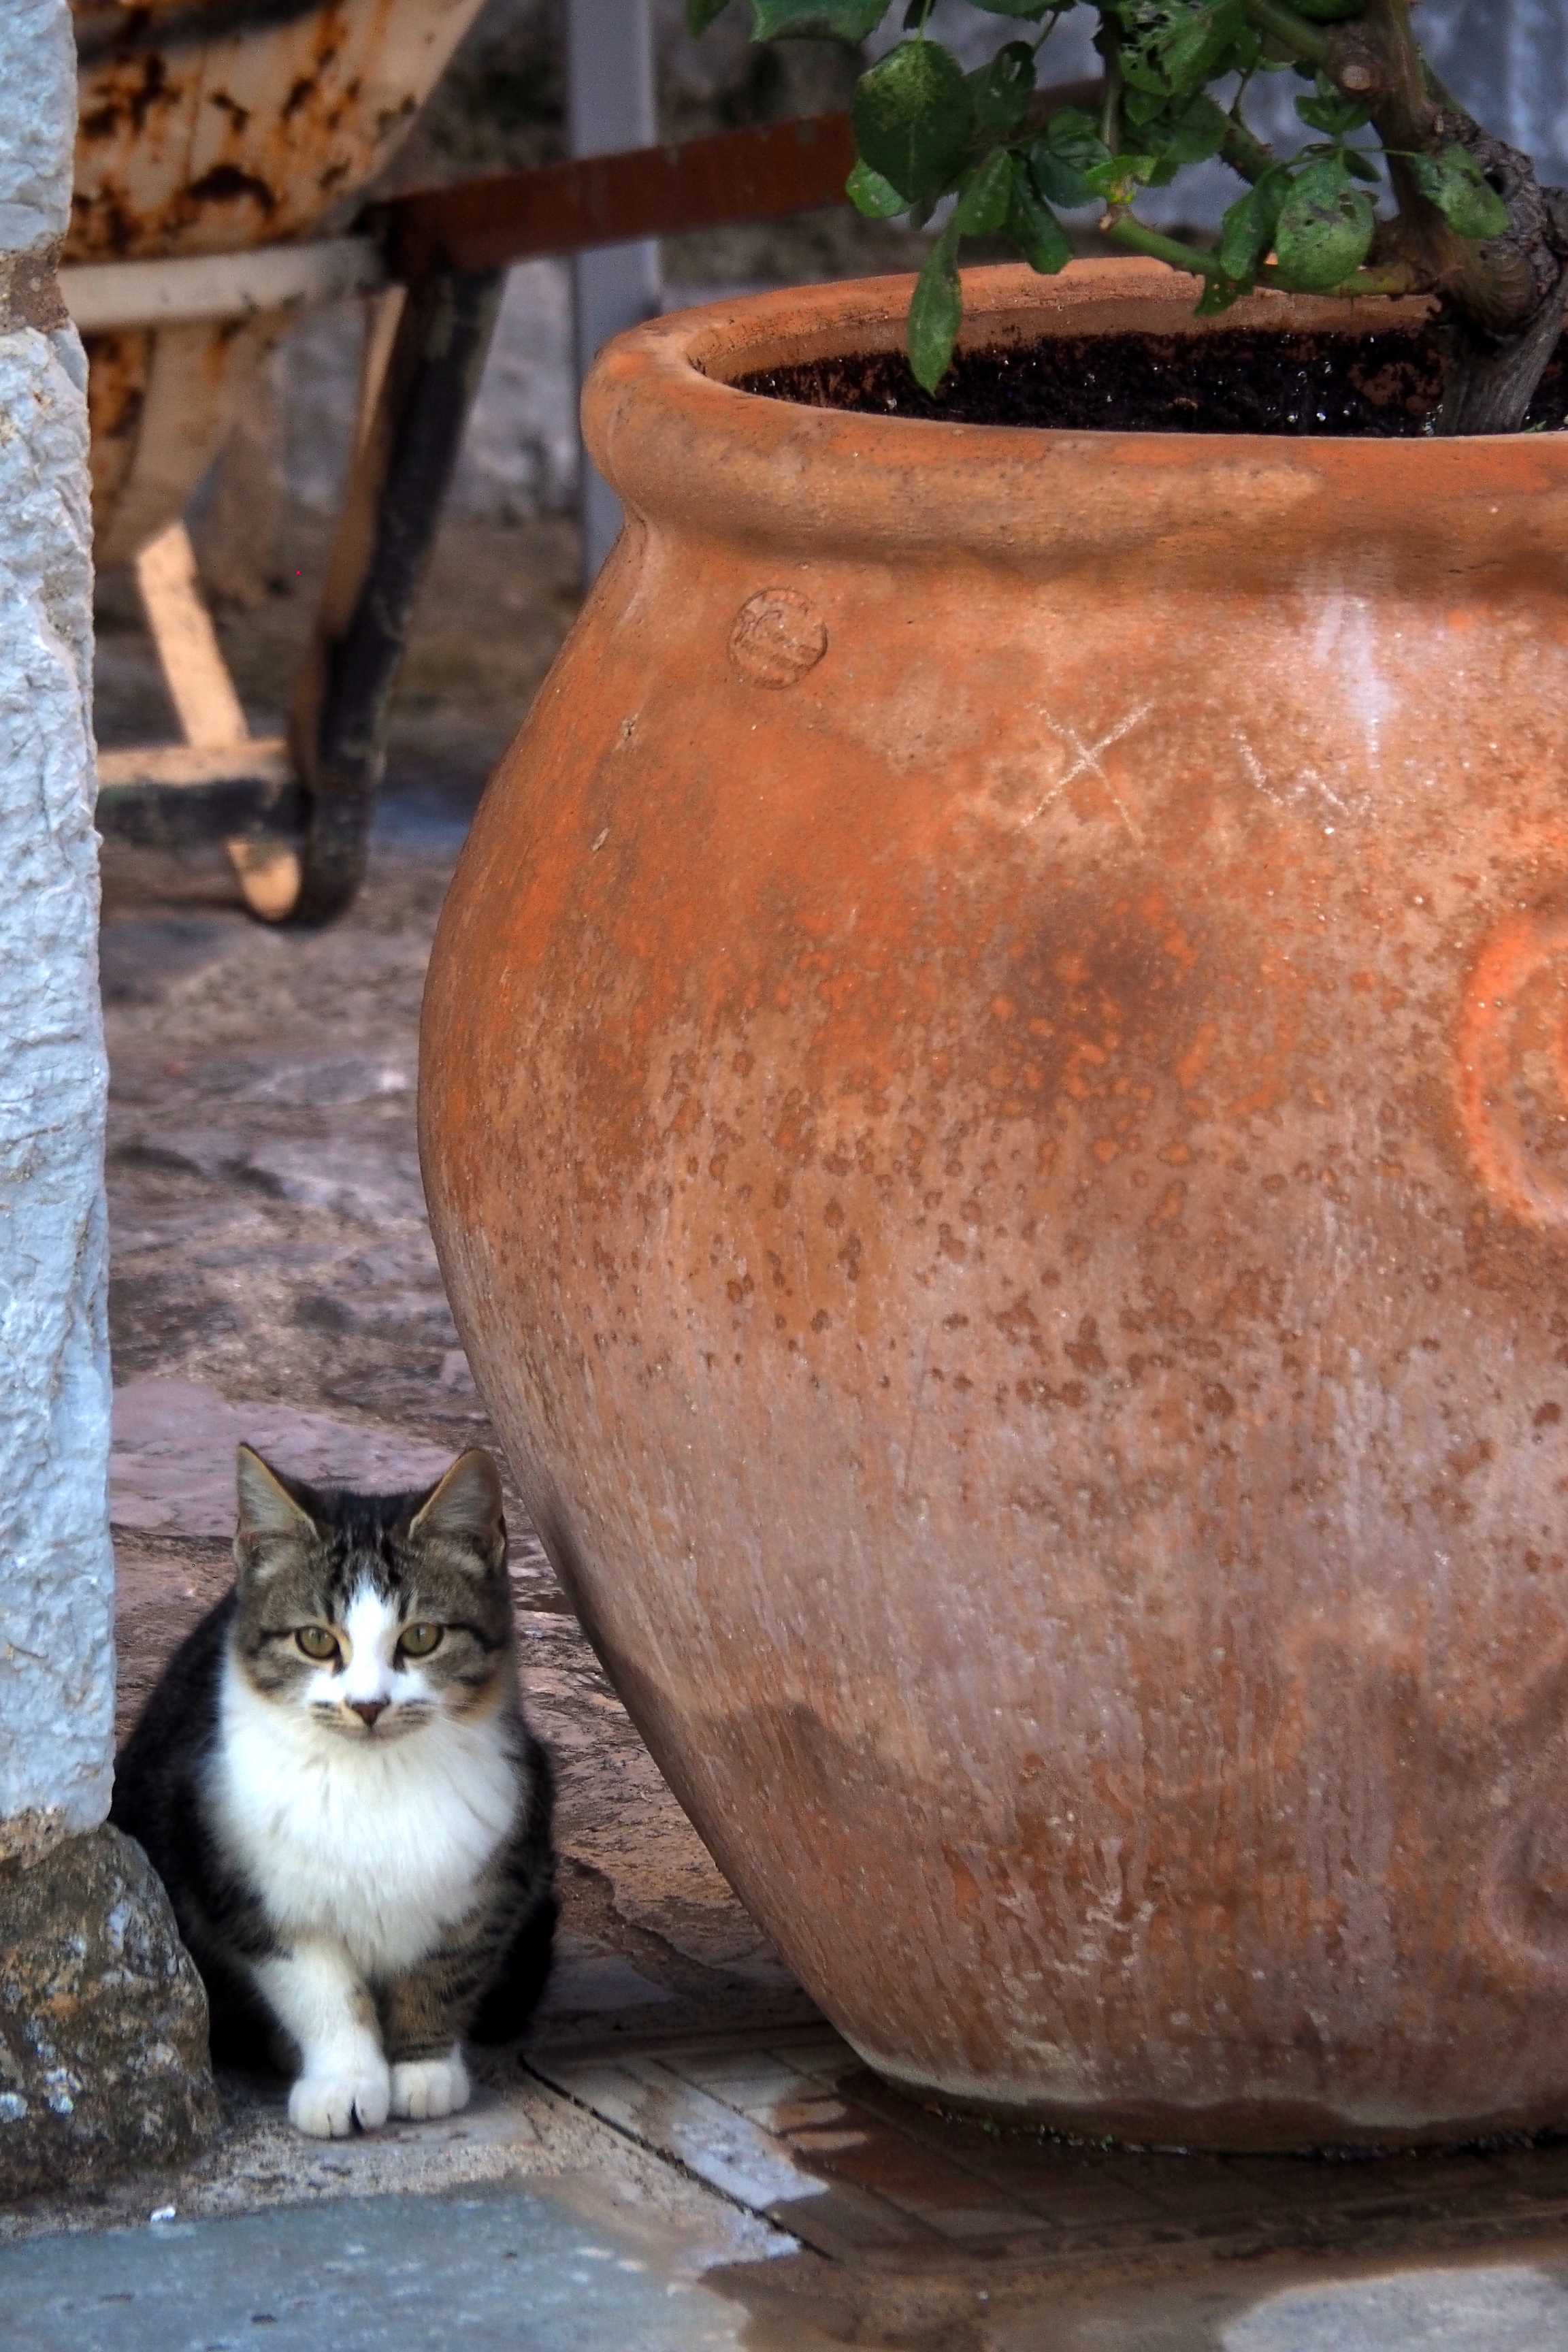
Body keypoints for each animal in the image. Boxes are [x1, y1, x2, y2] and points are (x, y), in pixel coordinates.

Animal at [110, 1442, 556, 2139]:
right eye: (316, 1640)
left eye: (422, 1637)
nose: (368, 1706)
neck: (373, 1778)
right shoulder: (246, 1880)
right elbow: (321, 1992)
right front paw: (344, 2081)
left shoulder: (500, 1861)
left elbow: (447, 1969)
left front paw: (424, 2070)